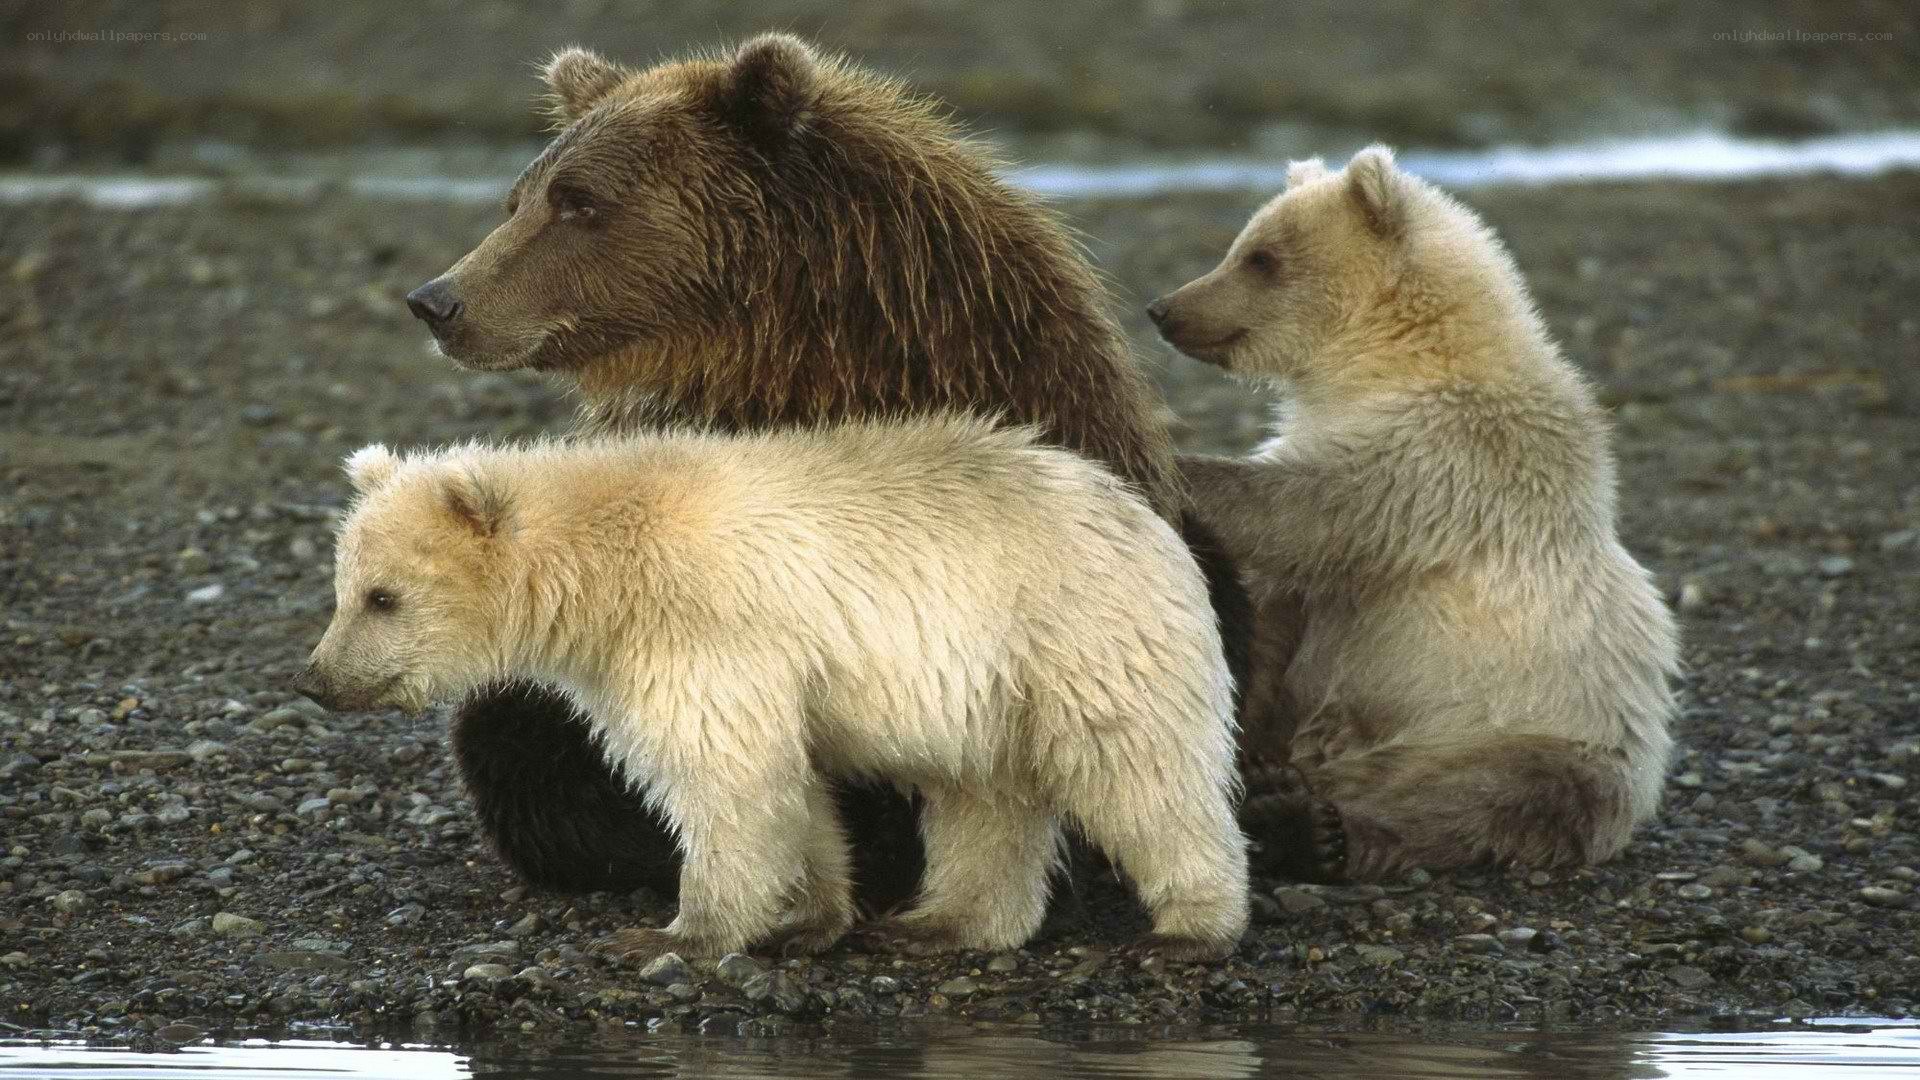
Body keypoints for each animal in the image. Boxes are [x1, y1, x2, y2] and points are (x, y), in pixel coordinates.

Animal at [293, 418, 1251, 963]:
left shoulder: (702, 630)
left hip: (1074, 635)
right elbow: (791, 787)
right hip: (985, 690)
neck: (603, 577)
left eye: (383, 597)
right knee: (986, 797)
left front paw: (674, 934)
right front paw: (806, 915)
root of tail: (1143, 514)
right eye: (342, 587)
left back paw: (1191, 930)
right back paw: (942, 923)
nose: (317, 679)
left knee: (1142, 773)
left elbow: (725, 775)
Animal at [1148, 147, 1680, 879]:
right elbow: (1276, 612)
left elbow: (1309, 510)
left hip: (1536, 723)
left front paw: (1183, 465)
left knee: (1492, 794)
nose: (1164, 309)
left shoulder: (1446, 459)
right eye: (1243, 246)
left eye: (1261, 257)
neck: (1385, 361)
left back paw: (1304, 826)